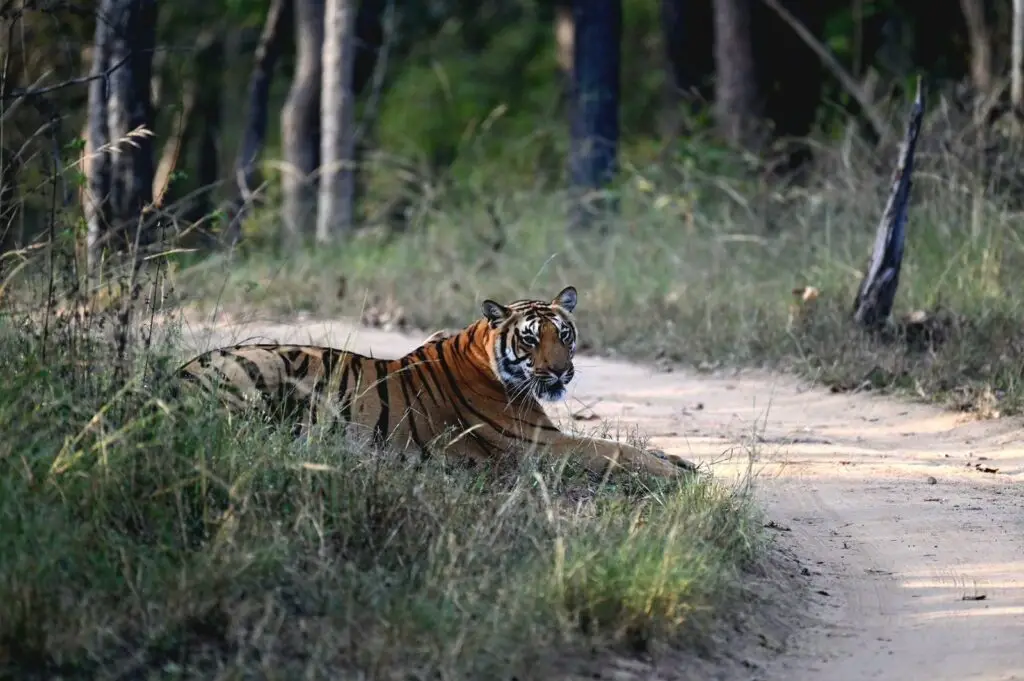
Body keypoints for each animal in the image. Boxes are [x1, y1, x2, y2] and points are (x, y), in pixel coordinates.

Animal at [175, 286, 696, 478]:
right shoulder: (538, 445)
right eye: (531, 340)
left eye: (563, 335)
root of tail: (179, 374)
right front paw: (676, 475)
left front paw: (679, 461)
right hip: (263, 368)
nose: (559, 371)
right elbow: (614, 450)